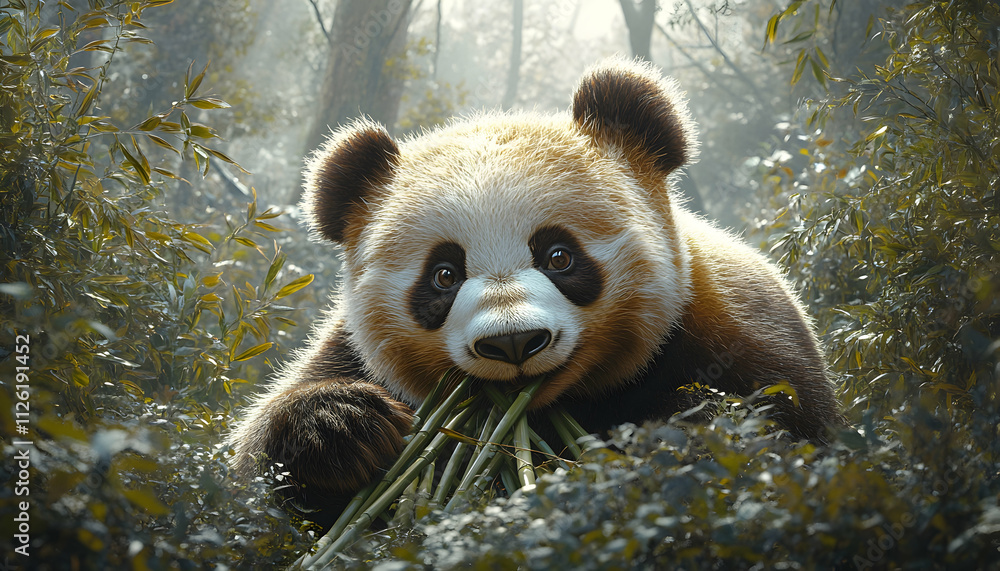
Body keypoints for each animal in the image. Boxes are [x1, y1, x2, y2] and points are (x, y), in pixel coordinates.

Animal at [228, 57, 843, 523]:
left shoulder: (730, 320)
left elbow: (779, 433)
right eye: (444, 275)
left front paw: (672, 439)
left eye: (558, 256)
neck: (555, 403)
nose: (513, 343)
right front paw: (342, 426)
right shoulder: (354, 354)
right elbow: (251, 480)